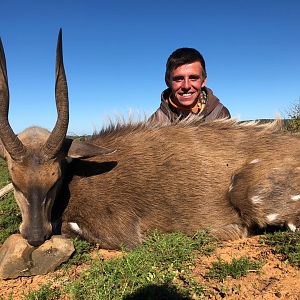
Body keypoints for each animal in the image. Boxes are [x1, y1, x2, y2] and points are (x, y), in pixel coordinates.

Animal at [0, 31, 300, 250]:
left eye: (55, 180)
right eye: (15, 181)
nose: (35, 236)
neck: (79, 176)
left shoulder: (120, 233)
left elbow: (71, 228)